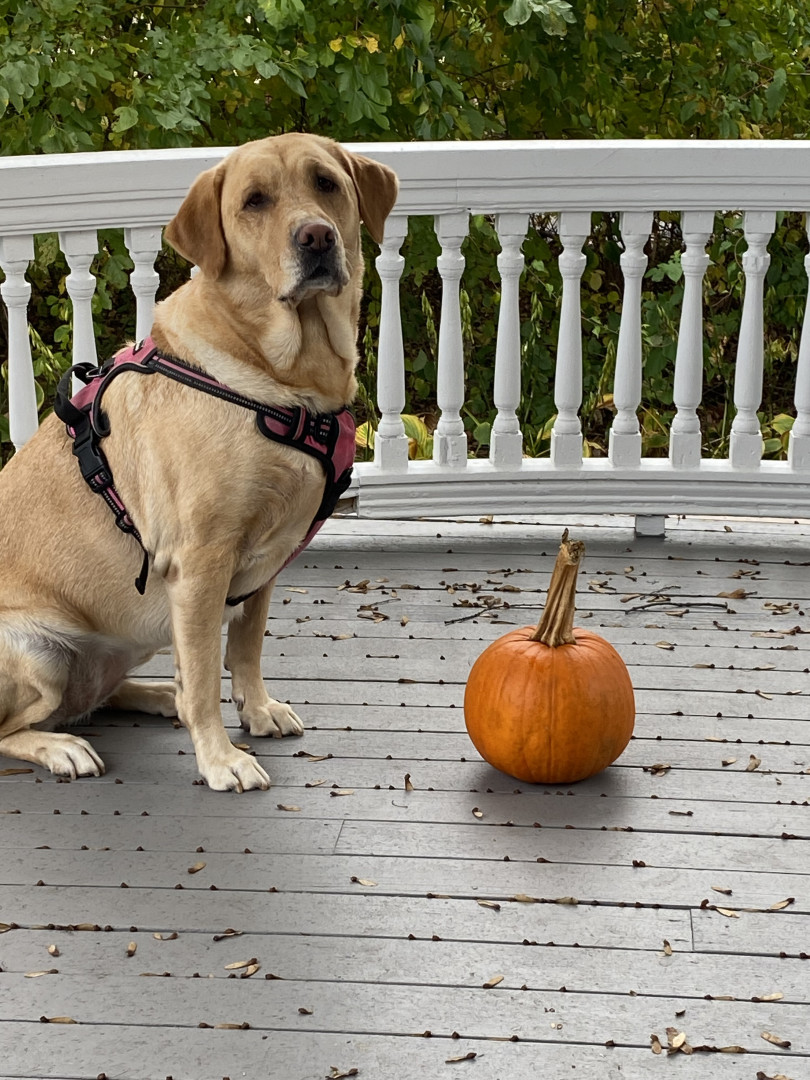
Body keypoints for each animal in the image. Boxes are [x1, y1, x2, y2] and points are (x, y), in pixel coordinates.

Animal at [0, 133, 398, 791]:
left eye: (327, 184)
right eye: (254, 201)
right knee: (16, 727)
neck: (286, 381)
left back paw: (161, 696)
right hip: (38, 653)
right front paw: (222, 758)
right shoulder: (201, 562)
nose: (316, 237)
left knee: (102, 693)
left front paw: (258, 711)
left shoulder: (262, 565)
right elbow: (210, 669)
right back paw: (64, 747)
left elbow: (246, 647)